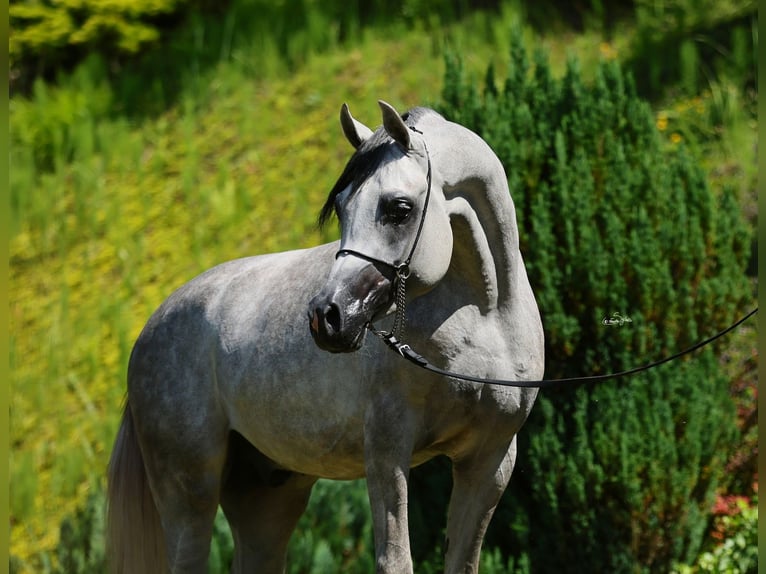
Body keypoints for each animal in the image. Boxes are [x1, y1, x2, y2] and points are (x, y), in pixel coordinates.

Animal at [106, 100, 544, 574]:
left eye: (400, 208)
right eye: (341, 206)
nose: (327, 317)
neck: (486, 318)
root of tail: (149, 332)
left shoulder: (489, 460)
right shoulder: (387, 452)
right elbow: (396, 560)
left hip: (268, 498)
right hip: (190, 497)